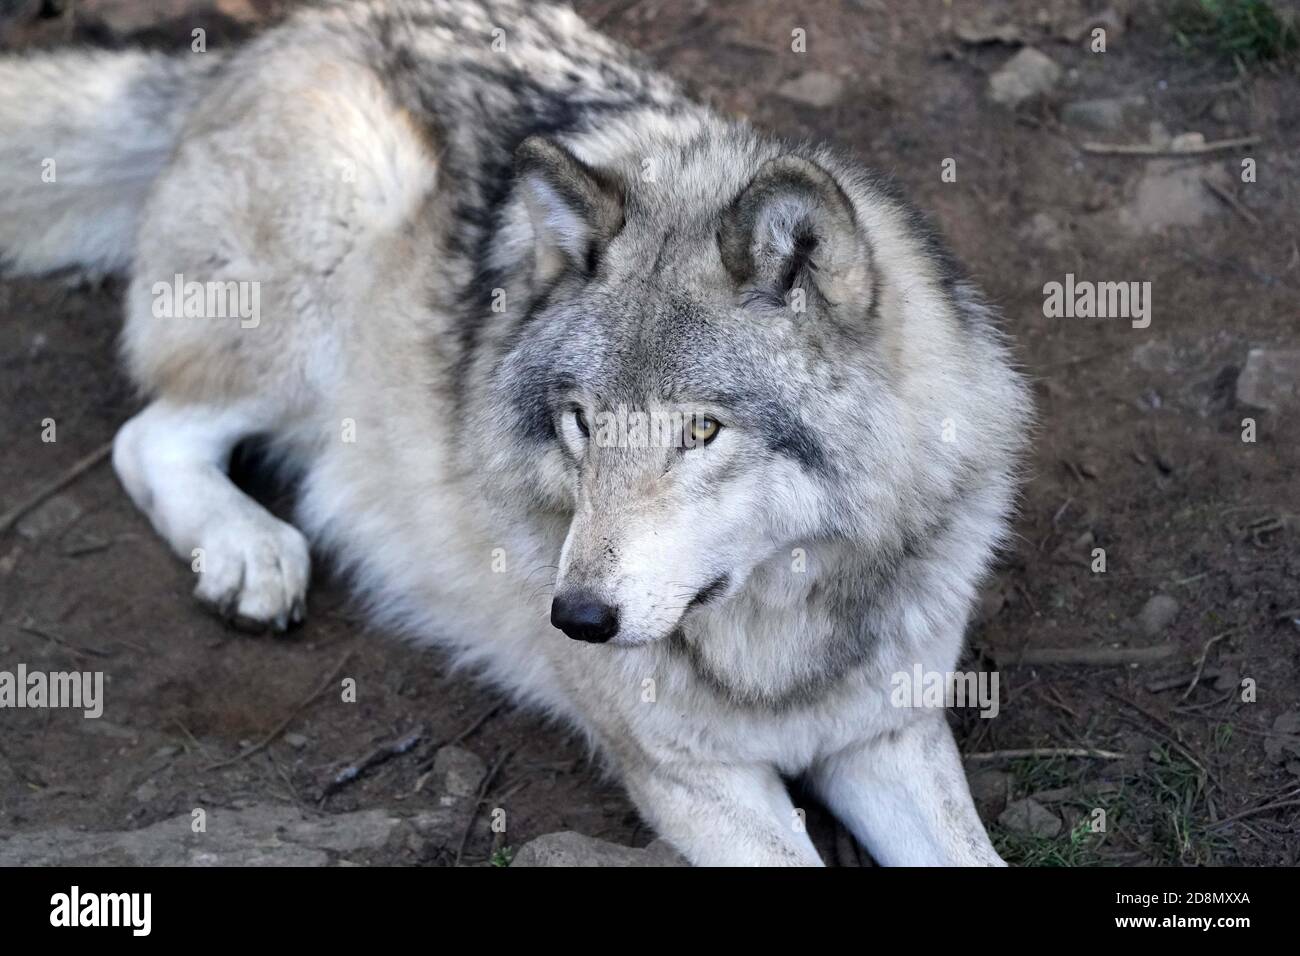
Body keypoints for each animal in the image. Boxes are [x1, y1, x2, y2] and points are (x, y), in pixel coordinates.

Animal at [0, 0, 1034, 868]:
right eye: (580, 423)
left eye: (702, 431)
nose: (576, 620)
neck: (781, 641)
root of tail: (273, 36)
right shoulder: (693, 780)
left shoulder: (888, 736)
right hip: (327, 278)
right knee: (150, 436)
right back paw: (248, 551)